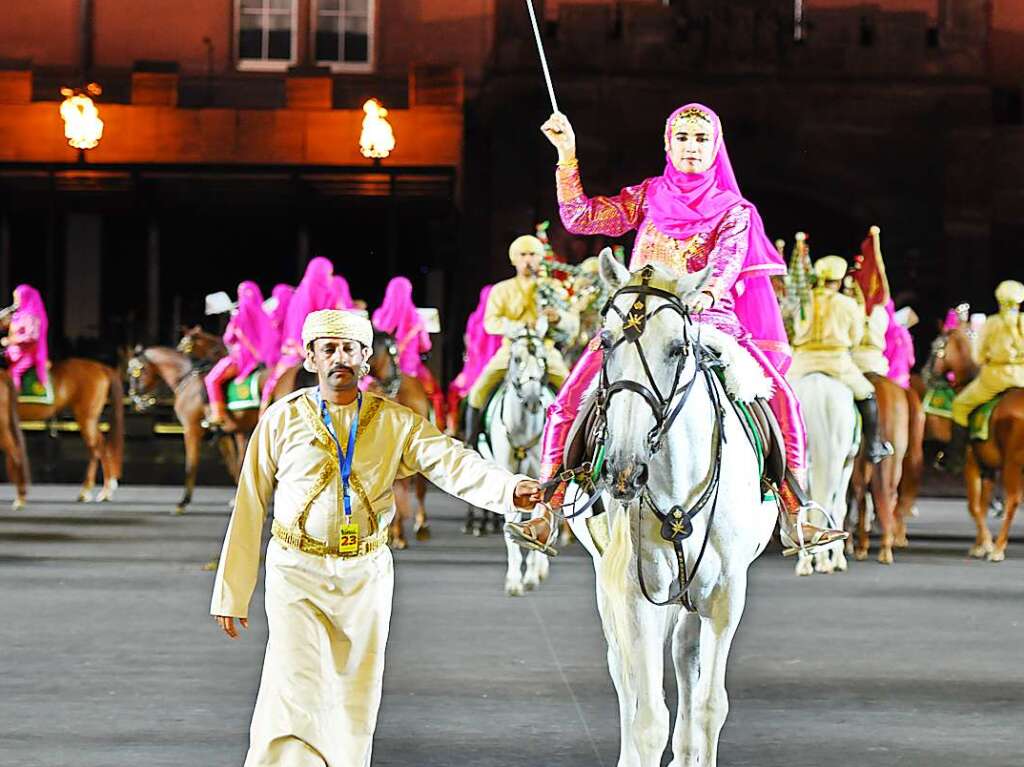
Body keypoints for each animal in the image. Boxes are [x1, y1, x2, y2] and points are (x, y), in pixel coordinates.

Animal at [483, 325, 557, 593]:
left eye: (543, 359)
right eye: (517, 359)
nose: (534, 400)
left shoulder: (539, 476)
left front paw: (532, 575)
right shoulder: (509, 473)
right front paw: (514, 580)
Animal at [569, 253, 774, 765]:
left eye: (678, 349)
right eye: (605, 342)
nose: (623, 469)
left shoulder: (726, 592)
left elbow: (709, 704)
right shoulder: (634, 589)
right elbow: (646, 716)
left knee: (685, 654)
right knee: (623, 671)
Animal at [933, 325, 1019, 561]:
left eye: (936, 348)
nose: (930, 374)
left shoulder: (971, 464)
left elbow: (974, 506)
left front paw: (987, 544)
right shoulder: (987, 467)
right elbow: (982, 504)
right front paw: (979, 545)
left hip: (1013, 465)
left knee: (1012, 501)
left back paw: (998, 549)